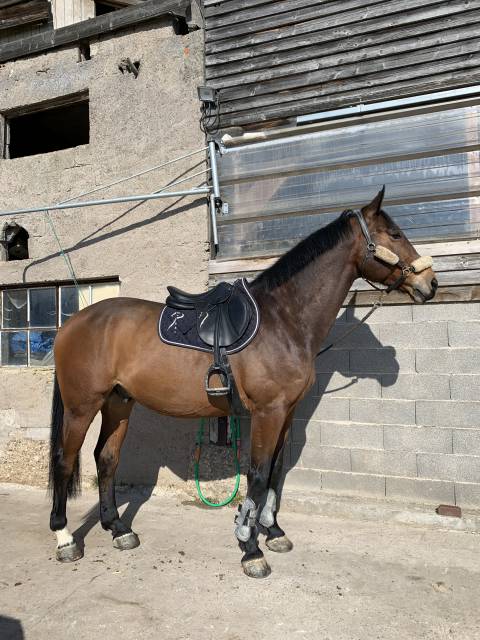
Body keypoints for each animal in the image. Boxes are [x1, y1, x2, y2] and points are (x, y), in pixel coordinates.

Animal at [48, 188, 438, 578]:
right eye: (395, 235)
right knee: (65, 461)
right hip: (82, 407)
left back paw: (118, 529)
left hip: (118, 403)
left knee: (106, 459)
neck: (283, 320)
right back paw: (65, 539)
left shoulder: (286, 413)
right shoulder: (268, 412)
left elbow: (276, 471)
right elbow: (259, 473)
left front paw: (273, 531)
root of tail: (71, 324)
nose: (430, 284)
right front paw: (250, 547)